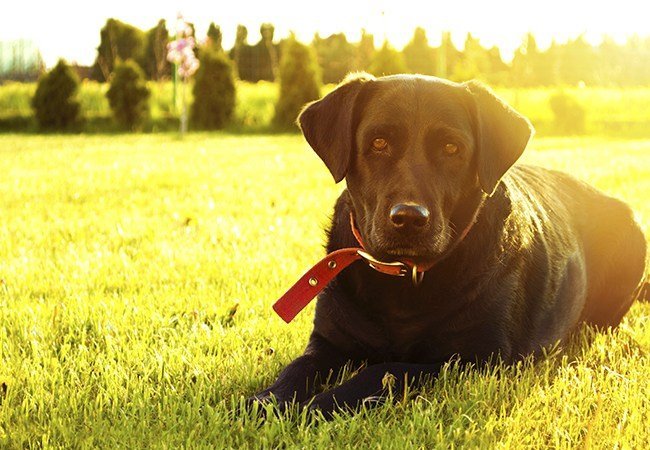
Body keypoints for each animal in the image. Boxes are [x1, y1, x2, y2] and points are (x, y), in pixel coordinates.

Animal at [251, 73, 644, 414]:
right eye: (378, 143)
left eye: (451, 148)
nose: (409, 218)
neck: (402, 282)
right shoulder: (328, 342)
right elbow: (295, 370)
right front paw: (264, 404)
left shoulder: (474, 358)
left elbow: (385, 370)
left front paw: (317, 406)